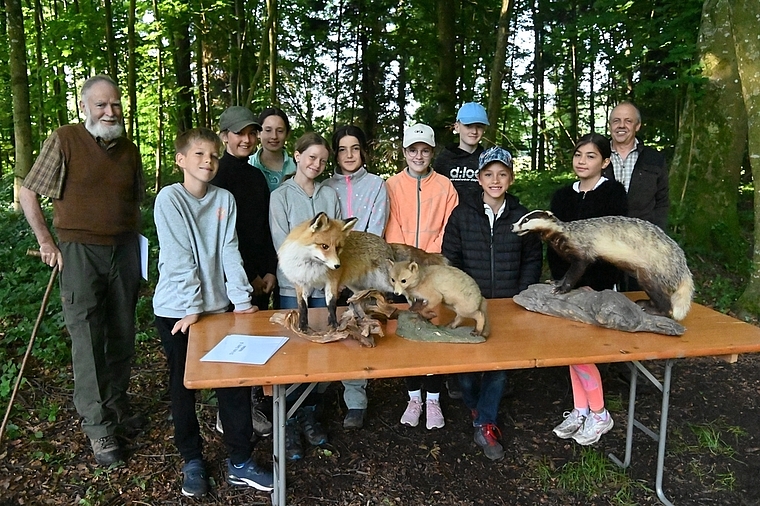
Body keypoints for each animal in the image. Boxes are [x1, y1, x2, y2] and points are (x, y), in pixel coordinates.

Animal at [278, 212, 446, 332]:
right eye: (324, 246)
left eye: (338, 248)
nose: (337, 265)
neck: (310, 266)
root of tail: (387, 244)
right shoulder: (300, 284)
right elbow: (302, 307)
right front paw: (302, 327)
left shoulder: (331, 282)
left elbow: (331, 305)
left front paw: (334, 326)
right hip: (357, 287)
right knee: (363, 300)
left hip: (387, 283)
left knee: (408, 293)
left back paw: (417, 311)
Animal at [510, 210, 696, 320]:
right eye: (521, 218)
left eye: (526, 219)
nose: (513, 225)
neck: (561, 234)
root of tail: (684, 269)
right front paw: (555, 282)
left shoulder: (581, 247)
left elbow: (578, 267)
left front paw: (561, 288)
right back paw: (645, 303)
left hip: (655, 268)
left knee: (657, 291)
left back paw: (655, 310)